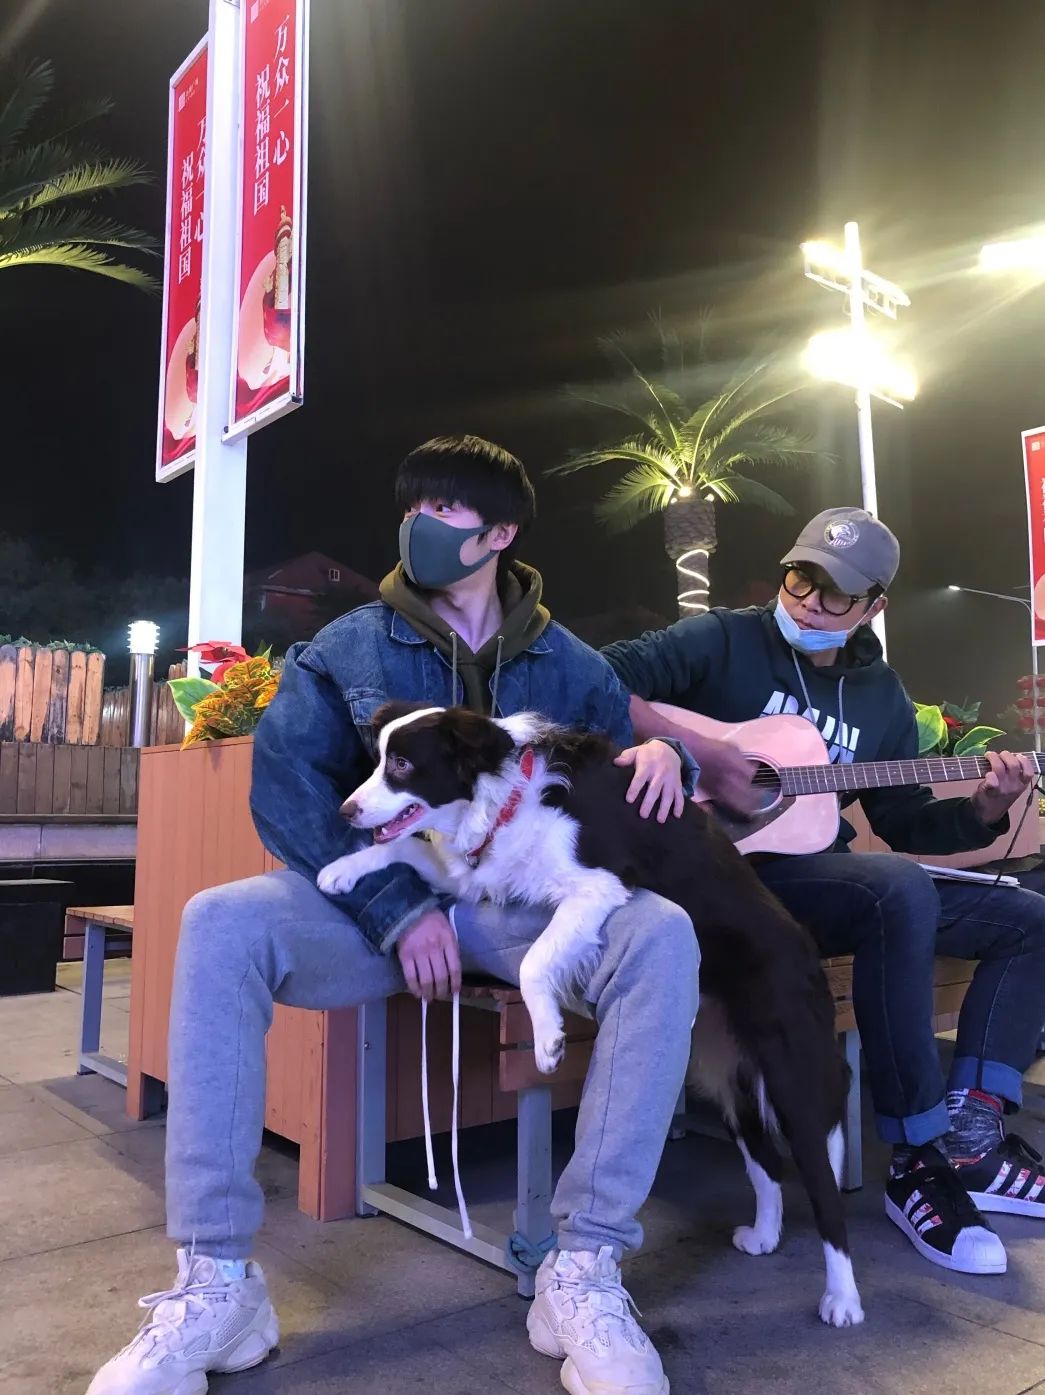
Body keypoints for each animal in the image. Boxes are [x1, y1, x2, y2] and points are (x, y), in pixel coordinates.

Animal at [317, 702, 863, 1326]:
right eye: (377, 758)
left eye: (403, 764)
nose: (346, 810)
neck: (507, 795)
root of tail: (808, 951)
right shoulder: (476, 875)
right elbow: (406, 848)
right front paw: (344, 869)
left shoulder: (595, 889)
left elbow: (535, 961)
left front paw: (549, 1039)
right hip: (726, 1077)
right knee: (766, 1162)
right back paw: (766, 1234)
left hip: (792, 1079)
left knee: (825, 1191)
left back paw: (843, 1298)